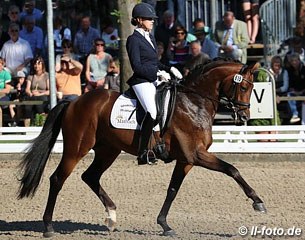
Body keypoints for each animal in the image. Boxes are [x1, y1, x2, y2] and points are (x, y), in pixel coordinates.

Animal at [17, 59, 264, 237]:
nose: (244, 116)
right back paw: (48, 227)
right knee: (57, 179)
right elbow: (232, 169)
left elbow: (172, 190)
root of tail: (75, 102)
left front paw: (164, 225)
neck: (194, 103)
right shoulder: (196, 155)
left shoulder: (186, 160)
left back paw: (112, 217)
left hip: (108, 150)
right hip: (76, 149)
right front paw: (258, 202)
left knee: (90, 176)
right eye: (243, 86)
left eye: (252, 87)